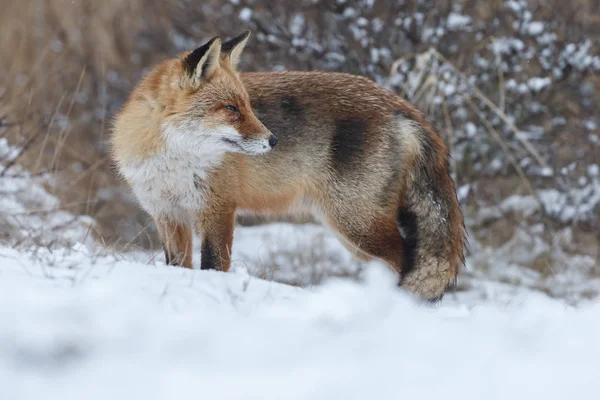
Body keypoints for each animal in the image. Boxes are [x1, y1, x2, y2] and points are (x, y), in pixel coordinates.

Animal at [110, 30, 466, 300]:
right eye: (231, 109)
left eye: (247, 106)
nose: (273, 140)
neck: (173, 163)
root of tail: (403, 105)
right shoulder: (167, 214)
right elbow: (177, 265)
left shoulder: (218, 209)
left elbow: (213, 264)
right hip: (352, 230)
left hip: (357, 223)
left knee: (405, 260)